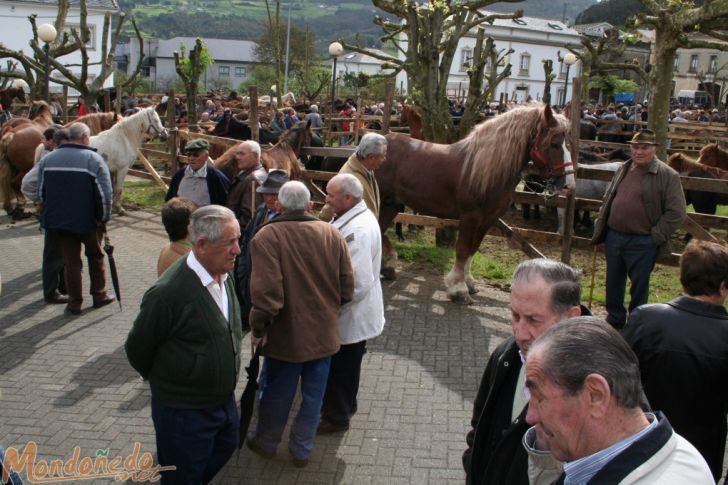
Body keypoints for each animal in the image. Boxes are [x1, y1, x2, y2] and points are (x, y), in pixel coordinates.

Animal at [376, 103, 576, 302]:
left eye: (569, 144)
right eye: (554, 143)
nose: (569, 186)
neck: (483, 168)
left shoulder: (488, 219)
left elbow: (473, 248)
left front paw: (469, 282)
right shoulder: (470, 216)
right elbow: (463, 249)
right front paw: (458, 289)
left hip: (391, 204)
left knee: (380, 228)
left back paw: (387, 266)